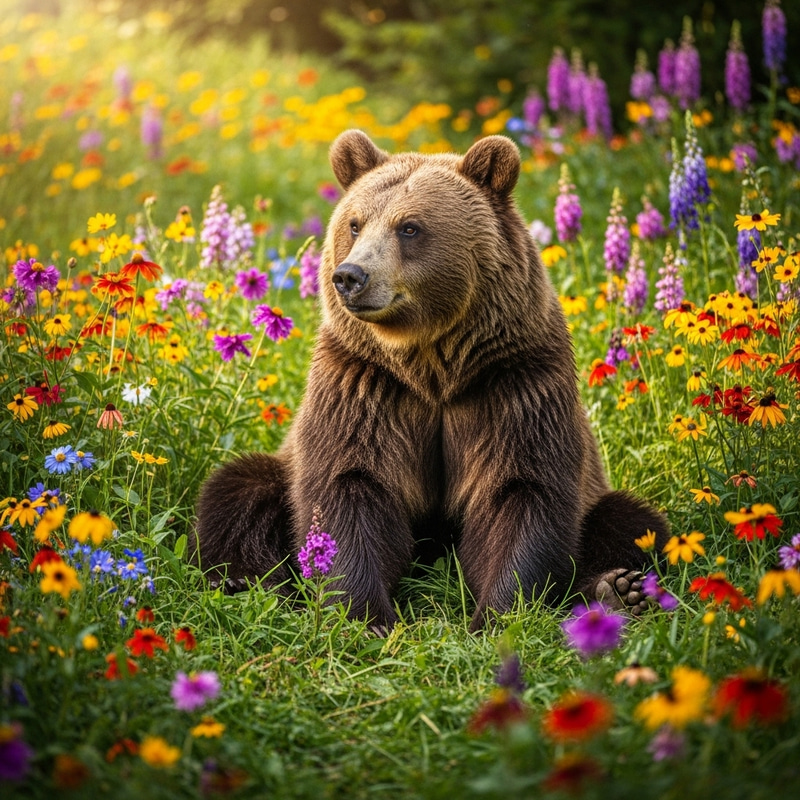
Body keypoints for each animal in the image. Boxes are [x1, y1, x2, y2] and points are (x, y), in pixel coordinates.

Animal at [194, 129, 669, 632]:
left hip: (596, 493)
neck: (432, 368)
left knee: (630, 522)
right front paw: (366, 615)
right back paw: (244, 584)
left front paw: (499, 614)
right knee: (236, 492)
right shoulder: (364, 384)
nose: (351, 276)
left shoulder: (513, 382)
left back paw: (618, 589)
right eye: (355, 224)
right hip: (277, 470)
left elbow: (523, 490)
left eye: (409, 227)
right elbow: (346, 485)